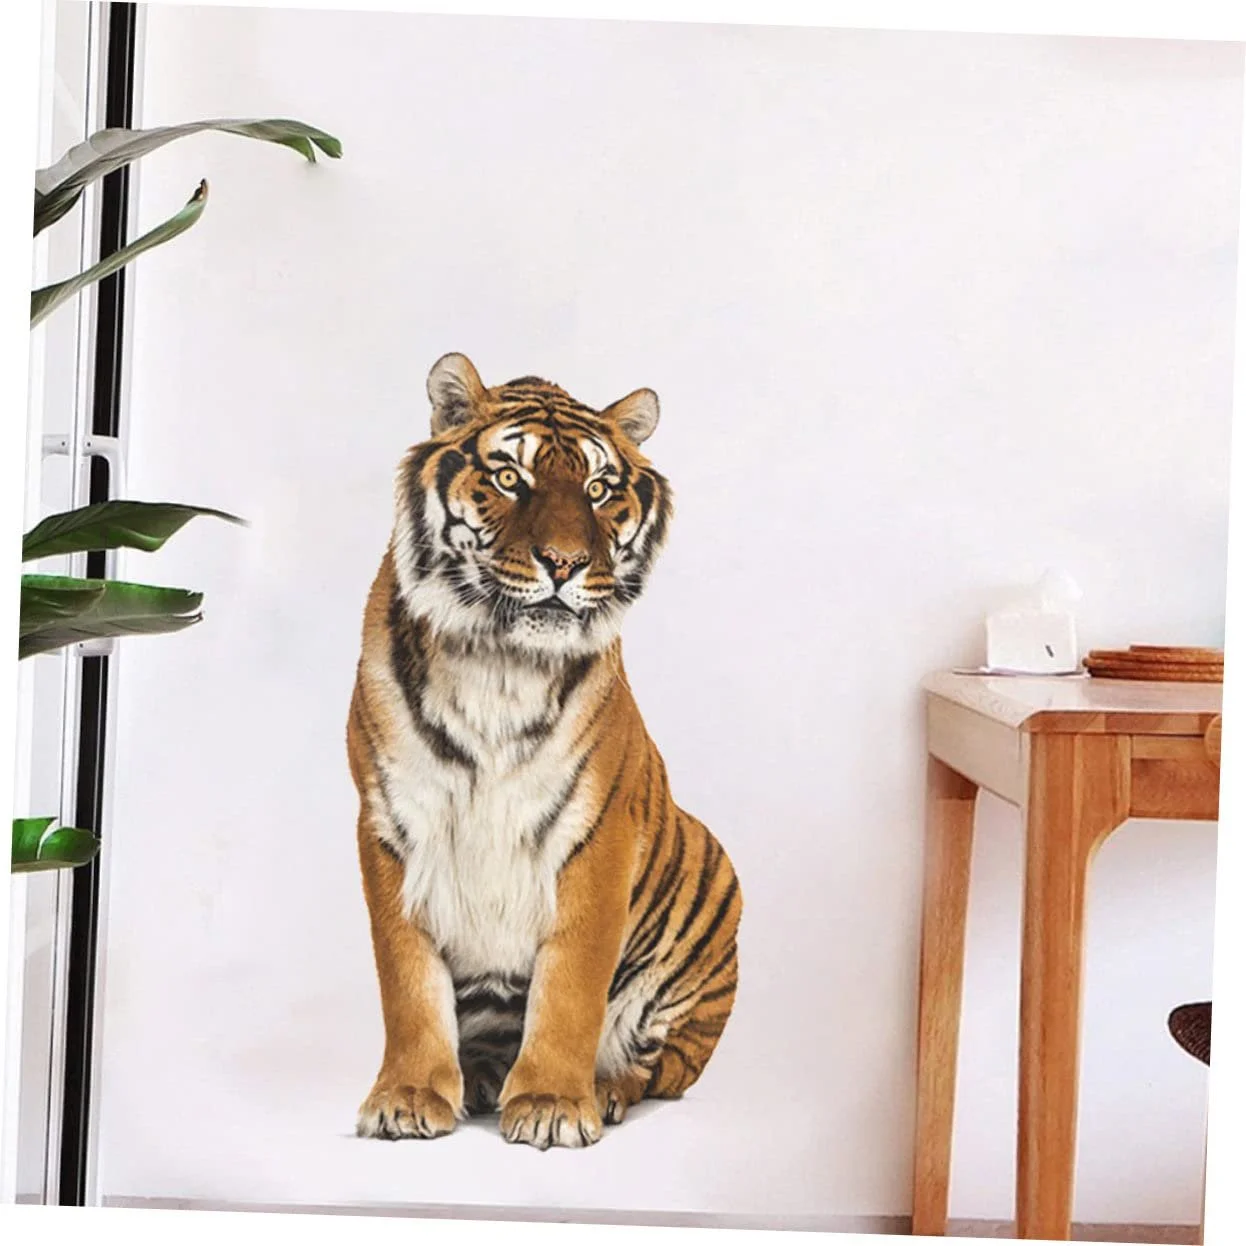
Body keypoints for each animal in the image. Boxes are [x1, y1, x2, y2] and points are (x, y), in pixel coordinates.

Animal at [346, 353, 742, 1150]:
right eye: (509, 478)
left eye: (598, 489)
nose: (564, 563)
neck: (499, 662)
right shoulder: (390, 821)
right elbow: (406, 976)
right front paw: (409, 1095)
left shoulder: (598, 833)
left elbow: (572, 983)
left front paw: (555, 1103)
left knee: (663, 1065)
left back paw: (605, 1088)